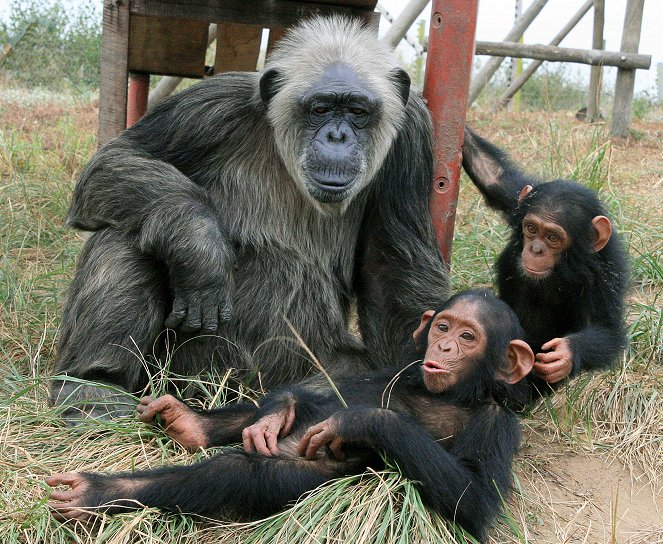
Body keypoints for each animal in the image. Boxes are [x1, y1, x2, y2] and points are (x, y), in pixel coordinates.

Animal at [45, 288, 536, 540]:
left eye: (469, 337)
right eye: (443, 327)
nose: (445, 347)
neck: (456, 394)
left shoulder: (498, 425)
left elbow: (474, 496)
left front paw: (360, 422)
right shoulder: (399, 368)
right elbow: (329, 384)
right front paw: (279, 411)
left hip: (301, 477)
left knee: (233, 474)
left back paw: (96, 494)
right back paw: (190, 422)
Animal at [49, 14, 448, 418]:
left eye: (358, 111)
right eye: (320, 109)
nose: (338, 136)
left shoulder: (412, 136)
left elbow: (393, 268)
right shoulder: (210, 105)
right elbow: (117, 158)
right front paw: (200, 249)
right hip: (170, 372)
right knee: (124, 230)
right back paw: (94, 388)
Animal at [462, 127, 628, 392]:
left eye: (552, 237)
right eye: (531, 229)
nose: (537, 248)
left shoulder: (604, 276)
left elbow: (607, 330)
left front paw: (566, 353)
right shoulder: (519, 201)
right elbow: (493, 176)